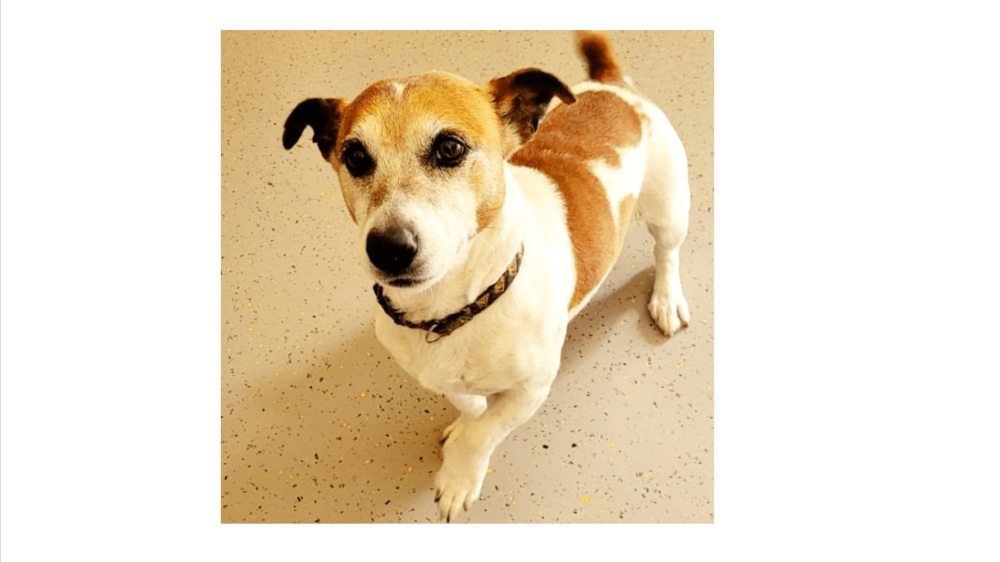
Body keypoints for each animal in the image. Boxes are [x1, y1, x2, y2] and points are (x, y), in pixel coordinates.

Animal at [282, 31, 690, 522]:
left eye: (450, 148)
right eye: (355, 157)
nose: (388, 248)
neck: (456, 309)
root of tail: (612, 87)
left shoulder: (532, 389)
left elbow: (486, 431)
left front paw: (458, 477)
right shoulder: (435, 374)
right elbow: (469, 403)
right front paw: (464, 419)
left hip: (668, 209)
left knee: (666, 254)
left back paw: (666, 299)